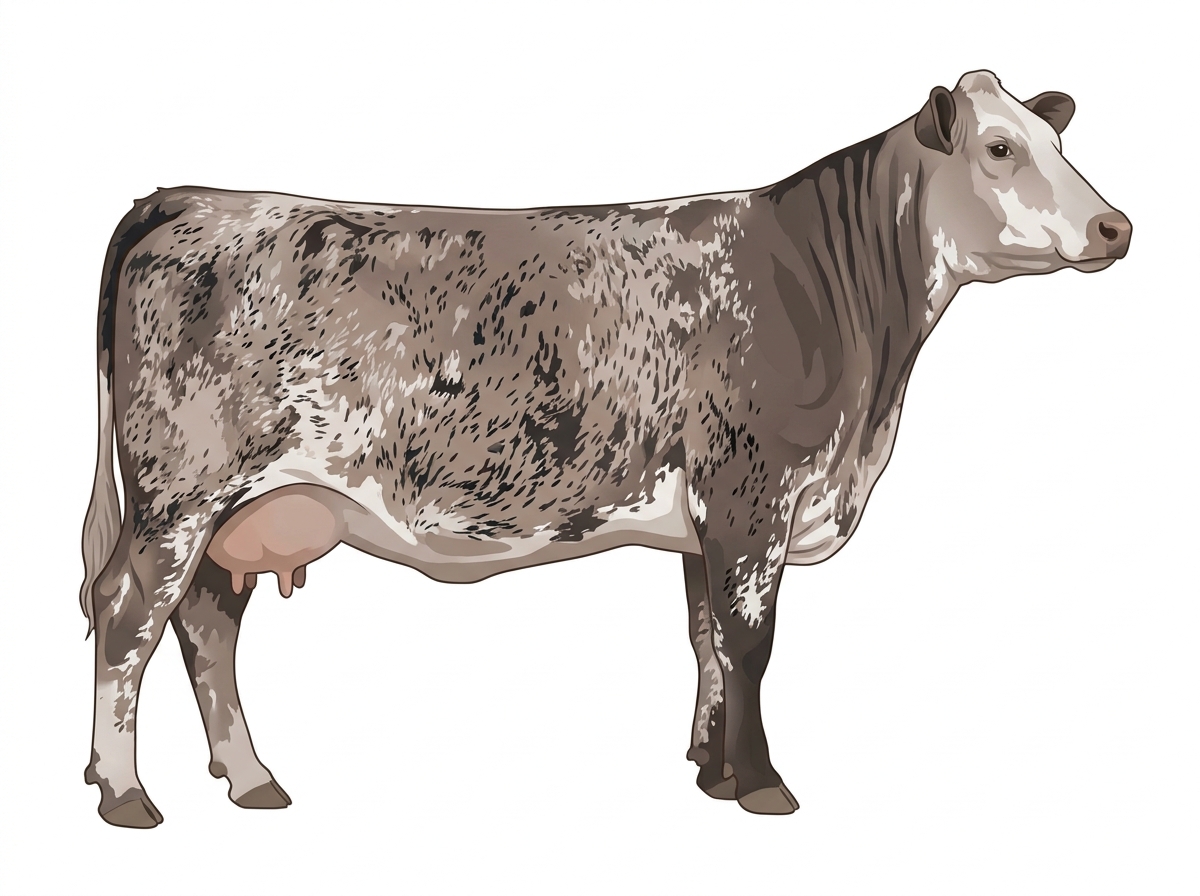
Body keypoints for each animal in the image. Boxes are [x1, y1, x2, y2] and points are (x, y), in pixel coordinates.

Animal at [80, 70, 1130, 827]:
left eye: (1059, 141)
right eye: (1000, 148)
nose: (1115, 225)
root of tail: (185, 197)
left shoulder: (706, 519)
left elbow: (707, 641)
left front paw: (711, 771)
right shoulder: (754, 494)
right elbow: (752, 643)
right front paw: (762, 785)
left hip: (245, 507)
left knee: (206, 625)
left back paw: (251, 778)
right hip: (182, 494)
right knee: (129, 617)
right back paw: (126, 795)